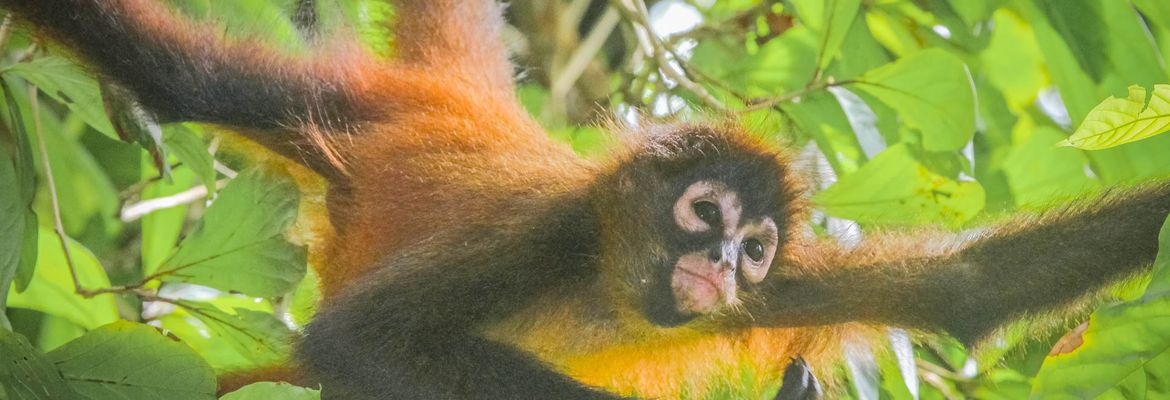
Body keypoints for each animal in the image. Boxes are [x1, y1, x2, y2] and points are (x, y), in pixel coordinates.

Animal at [2, 0, 1169, 399]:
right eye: (705, 215)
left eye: (755, 248)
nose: (721, 263)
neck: (609, 289)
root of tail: (471, 109)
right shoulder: (546, 235)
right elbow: (356, 341)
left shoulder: (784, 292)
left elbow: (971, 288)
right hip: (341, 110)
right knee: (178, 73)